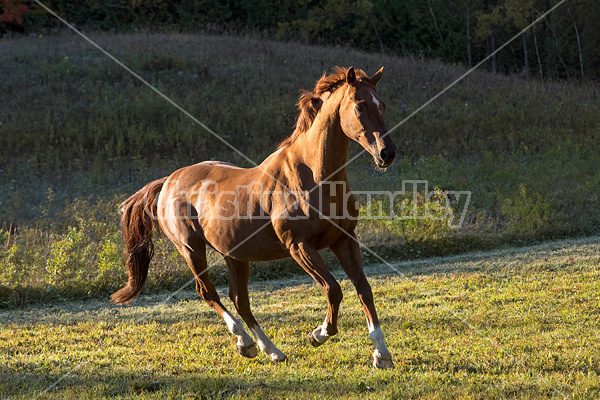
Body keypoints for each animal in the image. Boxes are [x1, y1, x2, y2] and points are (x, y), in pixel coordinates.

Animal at [112, 66, 396, 368]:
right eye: (360, 106)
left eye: (382, 105)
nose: (386, 153)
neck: (314, 177)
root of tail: (167, 181)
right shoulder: (299, 246)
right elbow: (333, 289)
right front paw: (318, 334)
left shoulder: (345, 240)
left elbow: (364, 289)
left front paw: (382, 354)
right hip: (191, 248)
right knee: (208, 292)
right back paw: (245, 341)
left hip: (234, 255)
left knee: (239, 299)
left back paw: (270, 350)